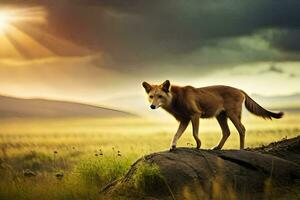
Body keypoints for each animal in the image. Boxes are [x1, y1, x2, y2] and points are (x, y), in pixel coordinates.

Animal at [143, 79, 284, 150]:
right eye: (151, 96)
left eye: (160, 96)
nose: (152, 106)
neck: (176, 99)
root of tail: (239, 89)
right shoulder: (184, 120)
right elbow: (176, 134)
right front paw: (172, 146)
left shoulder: (195, 115)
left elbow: (194, 134)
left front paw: (198, 146)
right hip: (220, 116)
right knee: (227, 132)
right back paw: (217, 147)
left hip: (232, 114)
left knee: (242, 129)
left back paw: (241, 149)